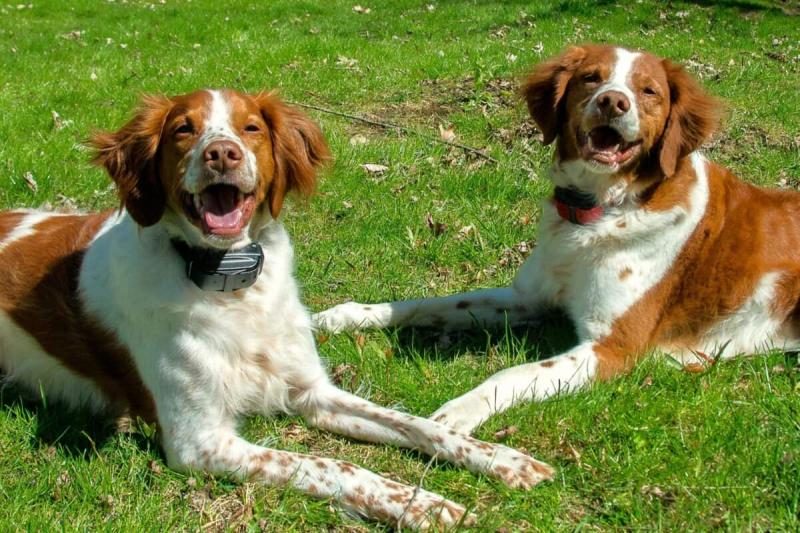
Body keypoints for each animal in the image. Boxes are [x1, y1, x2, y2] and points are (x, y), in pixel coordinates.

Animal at [0, 89, 552, 524]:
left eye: (251, 127)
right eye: (183, 129)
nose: (222, 153)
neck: (232, 286)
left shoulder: (312, 392)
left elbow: (416, 424)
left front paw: (502, 459)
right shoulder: (200, 442)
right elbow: (332, 465)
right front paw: (423, 503)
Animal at [312, 44, 800, 432]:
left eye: (648, 91)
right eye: (591, 78)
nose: (613, 102)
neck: (595, 214)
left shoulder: (612, 347)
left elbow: (513, 373)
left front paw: (459, 413)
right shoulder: (531, 297)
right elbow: (427, 304)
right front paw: (344, 316)